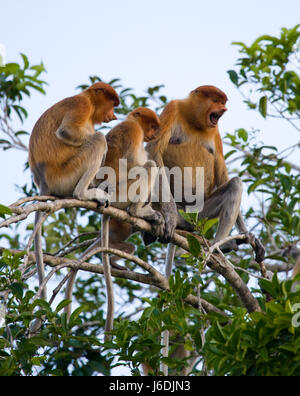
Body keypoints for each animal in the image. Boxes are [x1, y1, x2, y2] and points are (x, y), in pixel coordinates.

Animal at [28, 83, 119, 296]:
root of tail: (43, 182)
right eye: (112, 103)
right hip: (65, 175)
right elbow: (67, 132)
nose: (113, 115)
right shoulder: (81, 105)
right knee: (97, 140)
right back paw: (84, 193)